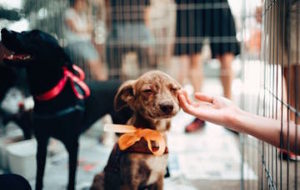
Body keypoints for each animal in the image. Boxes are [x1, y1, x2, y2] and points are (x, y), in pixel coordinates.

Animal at [0, 28, 131, 190]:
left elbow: (71, 178)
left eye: (35, 35)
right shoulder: (41, 142)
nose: (4, 30)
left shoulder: (73, 144)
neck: (50, 96)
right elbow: (39, 177)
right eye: (24, 31)